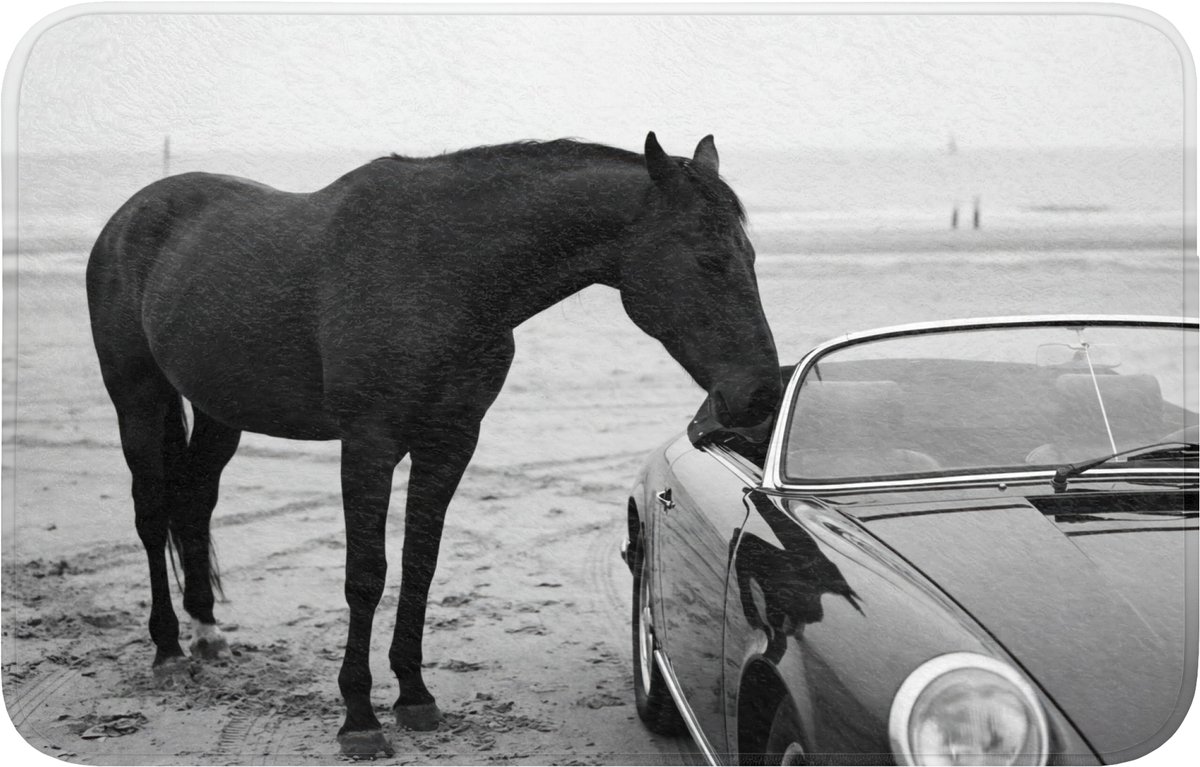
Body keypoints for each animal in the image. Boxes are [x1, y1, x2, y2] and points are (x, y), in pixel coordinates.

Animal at [86, 132, 781, 755]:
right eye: (708, 259)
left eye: (751, 257)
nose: (761, 395)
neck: (439, 268)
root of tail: (133, 214)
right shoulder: (368, 444)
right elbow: (366, 574)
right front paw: (359, 717)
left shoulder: (449, 443)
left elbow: (420, 562)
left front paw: (414, 696)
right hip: (138, 399)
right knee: (152, 512)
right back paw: (168, 650)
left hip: (217, 411)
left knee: (195, 503)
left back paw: (206, 631)